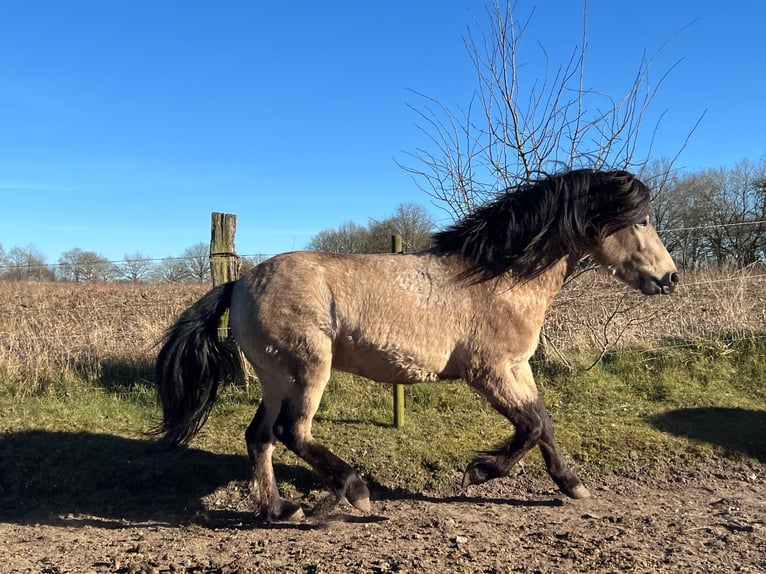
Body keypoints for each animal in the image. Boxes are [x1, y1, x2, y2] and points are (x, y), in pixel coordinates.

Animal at [154, 169, 678, 521]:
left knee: (259, 437)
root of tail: (240, 283)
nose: (671, 278)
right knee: (292, 432)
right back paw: (355, 490)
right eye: (643, 220)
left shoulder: (518, 367)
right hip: (306, 370)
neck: (499, 277)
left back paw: (279, 509)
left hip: (274, 378)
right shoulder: (489, 371)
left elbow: (542, 424)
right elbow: (530, 426)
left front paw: (572, 485)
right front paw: (479, 472)